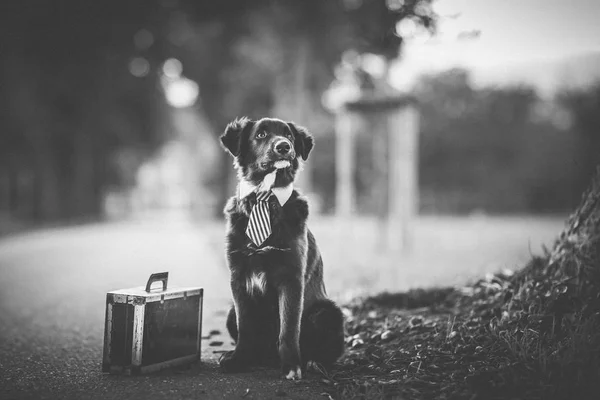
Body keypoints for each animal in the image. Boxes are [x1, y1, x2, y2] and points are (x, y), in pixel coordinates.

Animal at [218, 117, 344, 380]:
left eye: (288, 135)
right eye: (261, 134)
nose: (284, 146)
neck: (265, 199)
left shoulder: (291, 278)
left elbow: (288, 329)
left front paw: (291, 366)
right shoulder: (238, 276)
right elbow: (246, 327)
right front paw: (238, 359)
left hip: (328, 313)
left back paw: (313, 363)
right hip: (230, 313)